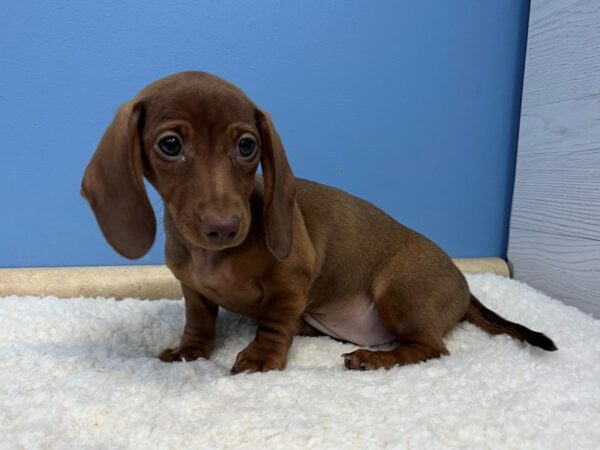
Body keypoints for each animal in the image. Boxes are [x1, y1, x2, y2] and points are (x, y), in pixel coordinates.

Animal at [82, 70, 556, 372]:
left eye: (247, 145)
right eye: (170, 145)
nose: (225, 227)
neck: (212, 258)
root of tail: (465, 287)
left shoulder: (292, 281)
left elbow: (274, 325)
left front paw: (260, 359)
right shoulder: (193, 290)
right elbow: (198, 323)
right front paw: (189, 352)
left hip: (399, 292)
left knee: (431, 348)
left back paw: (375, 359)